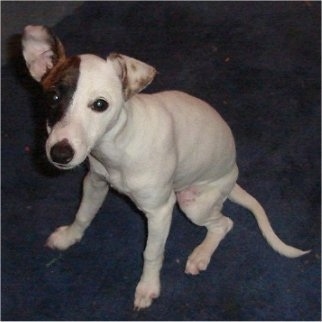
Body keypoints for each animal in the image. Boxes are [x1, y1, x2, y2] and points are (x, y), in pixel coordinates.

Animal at [20, 25, 310, 310]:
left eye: (100, 104)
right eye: (53, 96)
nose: (60, 154)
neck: (118, 145)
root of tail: (233, 175)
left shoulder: (160, 211)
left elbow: (152, 252)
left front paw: (148, 287)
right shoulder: (94, 182)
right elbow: (83, 214)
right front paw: (69, 237)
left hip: (192, 204)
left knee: (224, 223)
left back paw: (200, 255)